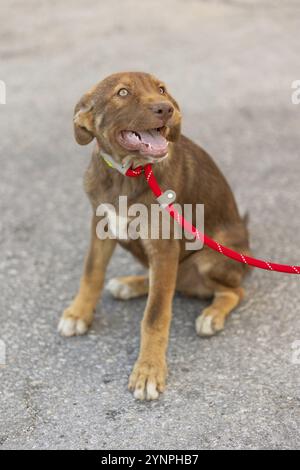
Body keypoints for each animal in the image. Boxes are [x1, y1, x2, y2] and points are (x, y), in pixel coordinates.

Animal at [58, 72, 251, 400]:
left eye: (162, 89)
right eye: (122, 92)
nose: (166, 108)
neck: (127, 174)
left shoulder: (164, 247)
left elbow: (155, 314)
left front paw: (148, 370)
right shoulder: (102, 225)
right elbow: (91, 272)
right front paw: (78, 313)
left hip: (209, 259)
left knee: (234, 291)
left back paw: (212, 314)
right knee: (165, 283)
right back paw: (130, 284)